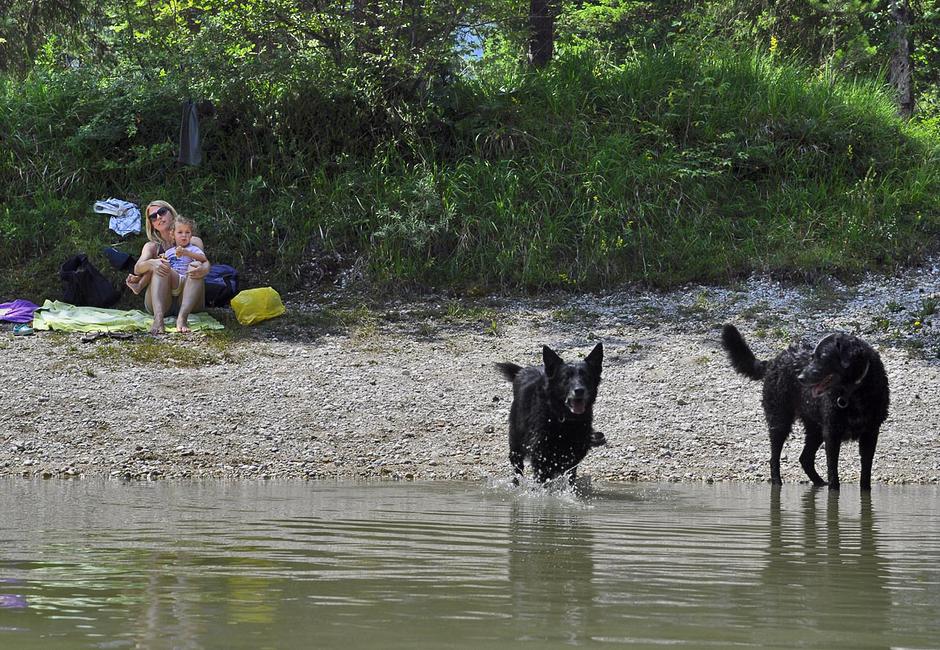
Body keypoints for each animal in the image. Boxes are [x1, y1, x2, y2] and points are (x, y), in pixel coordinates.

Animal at [496, 342, 604, 484]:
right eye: (565, 377)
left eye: (586, 376)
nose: (579, 390)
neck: (564, 420)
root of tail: (522, 370)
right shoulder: (541, 458)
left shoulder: (572, 459)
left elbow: (570, 479)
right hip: (516, 443)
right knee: (517, 468)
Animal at [720, 322, 888, 488]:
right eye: (812, 357)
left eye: (823, 357)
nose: (800, 378)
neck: (853, 392)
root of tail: (774, 360)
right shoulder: (832, 434)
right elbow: (833, 473)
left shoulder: (870, 434)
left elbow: (865, 474)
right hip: (780, 421)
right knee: (774, 458)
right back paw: (777, 483)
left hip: (815, 428)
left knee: (805, 458)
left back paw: (819, 483)